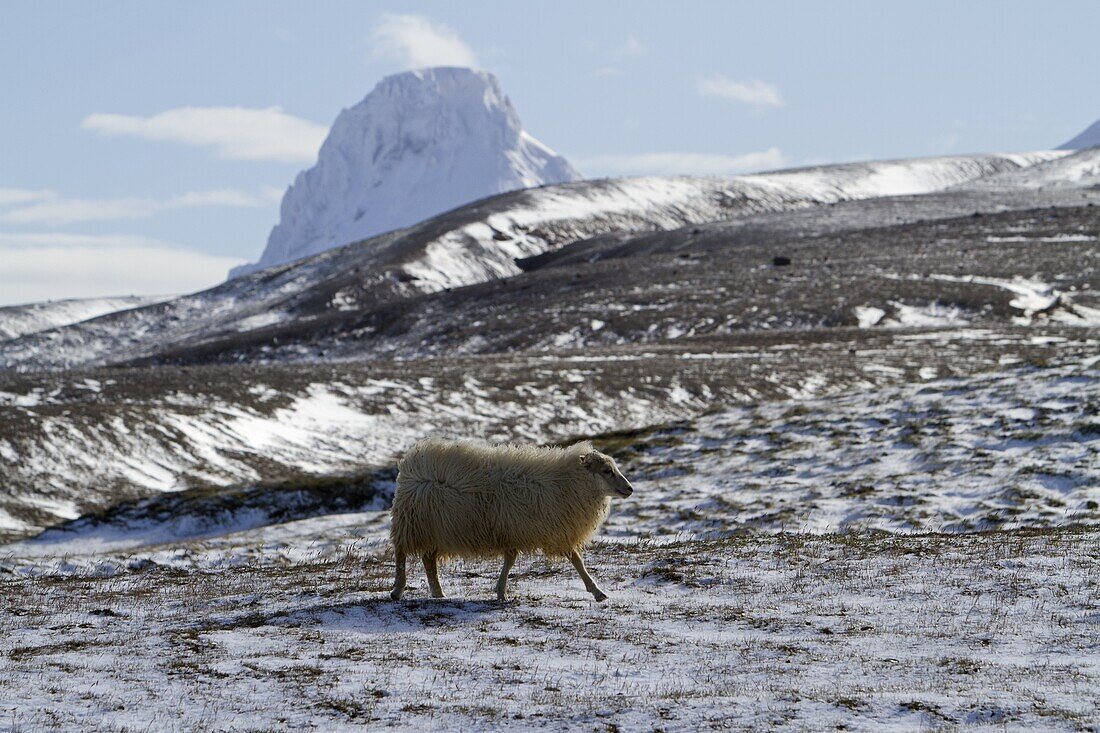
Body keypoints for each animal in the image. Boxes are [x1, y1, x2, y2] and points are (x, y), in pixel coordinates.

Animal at [389, 433, 638, 598]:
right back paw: (398, 589)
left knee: (428, 560)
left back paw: (438, 593)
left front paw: (501, 591)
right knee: (401, 554)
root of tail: (411, 461)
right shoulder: (552, 530)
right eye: (607, 471)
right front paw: (597, 591)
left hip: (435, 528)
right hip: (411, 522)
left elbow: (511, 560)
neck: (568, 482)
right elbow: (576, 559)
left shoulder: (522, 529)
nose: (630, 489)